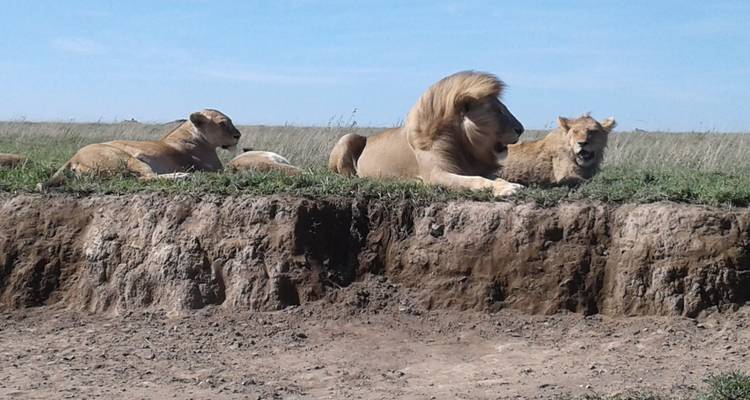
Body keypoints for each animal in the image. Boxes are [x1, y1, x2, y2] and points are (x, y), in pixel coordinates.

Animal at [41, 109, 241, 188]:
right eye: (223, 123)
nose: (238, 135)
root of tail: (73, 157)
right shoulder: (215, 169)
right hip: (126, 158)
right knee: (146, 177)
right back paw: (182, 176)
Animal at [328, 71, 525, 196]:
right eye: (498, 111)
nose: (521, 129)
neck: (462, 144)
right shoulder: (436, 174)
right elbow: (475, 180)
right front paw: (506, 190)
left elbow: (492, 177)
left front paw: (511, 185)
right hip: (349, 137)